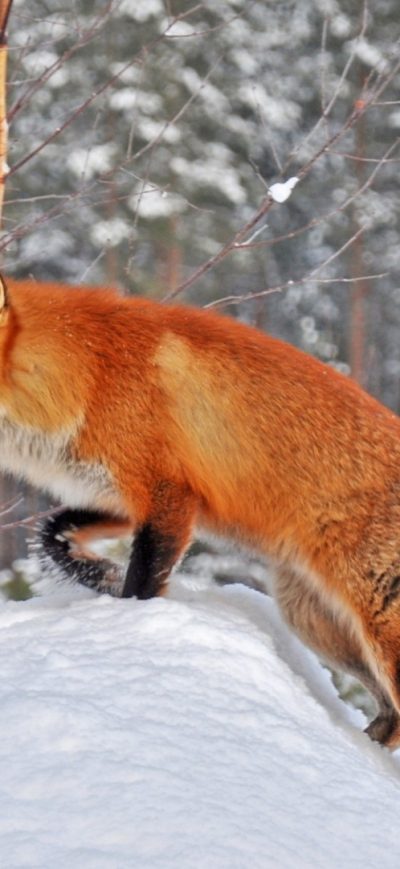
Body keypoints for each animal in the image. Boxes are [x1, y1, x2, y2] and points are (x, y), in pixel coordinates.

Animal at [2, 274, 400, 747]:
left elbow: (143, 584)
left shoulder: (168, 494)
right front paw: (105, 578)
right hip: (314, 621)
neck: (89, 373)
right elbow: (54, 534)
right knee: (392, 719)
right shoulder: (123, 497)